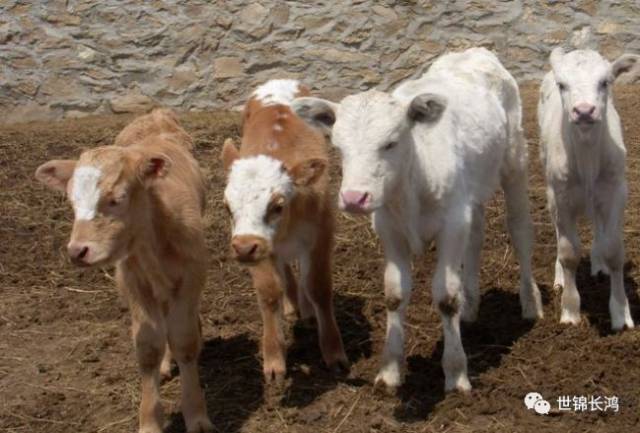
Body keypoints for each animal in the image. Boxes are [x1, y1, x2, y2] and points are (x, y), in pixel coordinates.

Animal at [35, 109, 212, 432]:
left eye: (116, 199)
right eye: (72, 202)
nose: (77, 251)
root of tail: (156, 114)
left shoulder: (192, 274)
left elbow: (184, 339)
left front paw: (196, 416)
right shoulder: (133, 281)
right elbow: (148, 346)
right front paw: (150, 421)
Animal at [221, 78, 350, 382]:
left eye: (277, 205)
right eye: (227, 207)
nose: (242, 249)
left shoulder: (321, 234)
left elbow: (318, 286)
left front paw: (334, 353)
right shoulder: (258, 246)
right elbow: (269, 292)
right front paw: (273, 359)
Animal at [292, 48, 544, 392]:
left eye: (390, 142)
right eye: (339, 147)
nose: (354, 198)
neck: (414, 181)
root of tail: (475, 51)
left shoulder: (452, 224)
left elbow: (446, 297)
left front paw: (456, 373)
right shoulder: (390, 229)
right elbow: (395, 294)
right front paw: (389, 371)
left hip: (514, 161)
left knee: (520, 231)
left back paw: (530, 303)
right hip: (471, 193)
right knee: (476, 238)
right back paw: (471, 306)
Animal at [536, 47, 636, 330]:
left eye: (605, 82)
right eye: (562, 85)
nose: (583, 111)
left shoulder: (616, 192)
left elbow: (613, 249)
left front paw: (621, 314)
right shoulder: (561, 196)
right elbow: (569, 252)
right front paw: (570, 311)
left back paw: (598, 263)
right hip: (551, 189)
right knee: (558, 233)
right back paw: (560, 276)